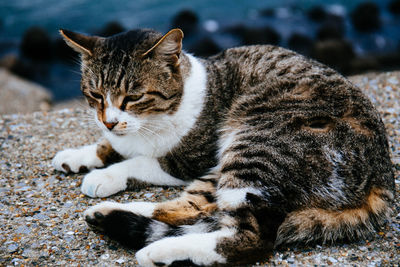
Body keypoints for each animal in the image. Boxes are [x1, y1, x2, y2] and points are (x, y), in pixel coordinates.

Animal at [52, 28, 394, 266]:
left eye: (133, 97)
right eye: (95, 95)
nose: (109, 120)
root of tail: (382, 179)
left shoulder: (190, 160)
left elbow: (140, 161)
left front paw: (104, 174)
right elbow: (111, 145)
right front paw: (78, 154)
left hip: (255, 144)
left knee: (246, 236)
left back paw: (160, 249)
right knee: (199, 208)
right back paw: (110, 212)